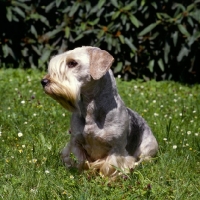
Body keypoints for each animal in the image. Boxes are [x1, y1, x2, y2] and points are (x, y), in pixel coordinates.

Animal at [41, 46, 159, 177]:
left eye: (72, 63)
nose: (44, 81)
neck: (91, 109)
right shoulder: (76, 143)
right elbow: (80, 160)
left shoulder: (117, 148)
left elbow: (111, 166)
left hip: (147, 149)